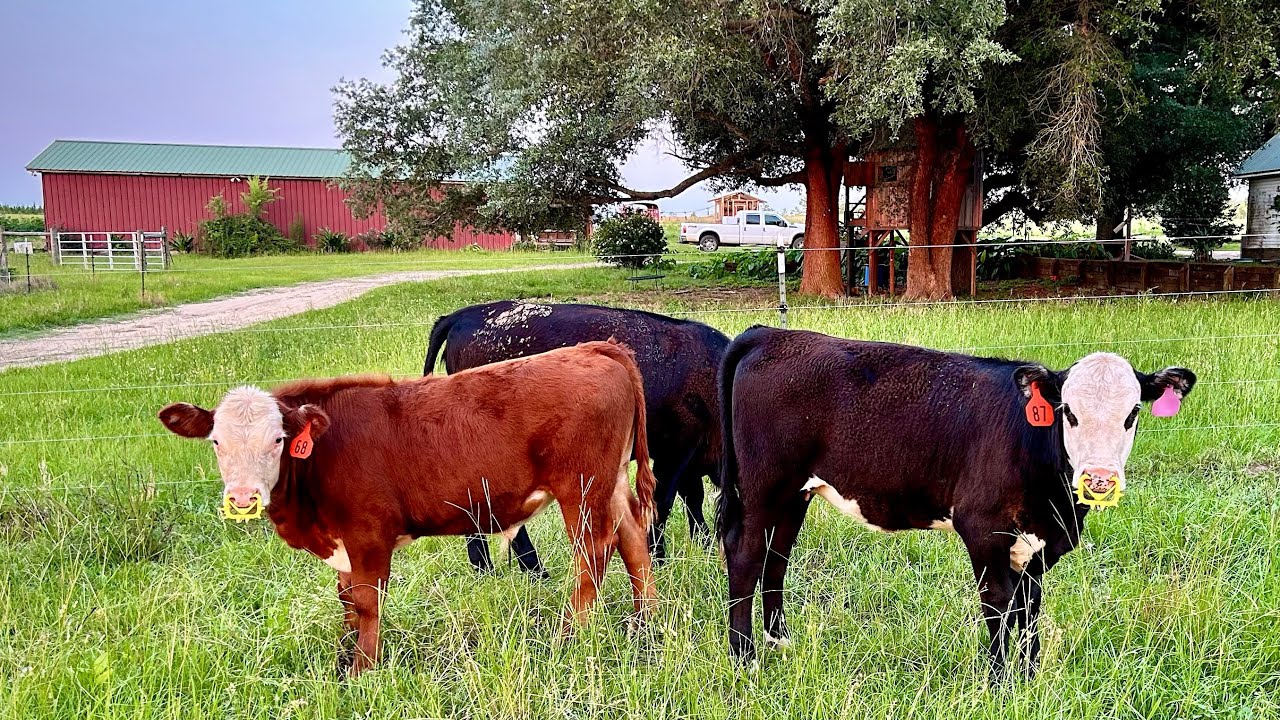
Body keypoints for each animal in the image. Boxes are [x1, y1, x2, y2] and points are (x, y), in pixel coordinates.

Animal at [158, 341, 657, 676]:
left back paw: (573, 636)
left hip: (582, 488)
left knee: (592, 554)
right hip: (610, 482)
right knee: (633, 539)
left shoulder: (368, 535)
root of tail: (597, 349)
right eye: (216, 441)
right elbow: (346, 600)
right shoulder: (344, 544)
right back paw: (645, 621)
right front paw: (344, 654)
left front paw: (363, 669)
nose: (243, 498)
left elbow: (366, 601)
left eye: (278, 440)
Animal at [425, 300, 729, 574]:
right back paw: (530, 569)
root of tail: (463, 315)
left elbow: (693, 499)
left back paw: (491, 567)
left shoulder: (690, 457)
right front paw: (659, 558)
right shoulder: (676, 449)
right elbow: (662, 503)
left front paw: (703, 545)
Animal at [716, 326, 1196, 680]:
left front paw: (1030, 674)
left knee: (777, 556)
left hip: (795, 493)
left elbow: (1030, 606)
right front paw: (999, 680)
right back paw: (745, 657)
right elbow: (998, 602)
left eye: (1132, 413)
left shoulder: (1041, 542)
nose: (1099, 479)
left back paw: (780, 639)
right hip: (763, 486)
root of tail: (768, 334)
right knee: (745, 554)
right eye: (1068, 412)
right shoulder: (981, 527)